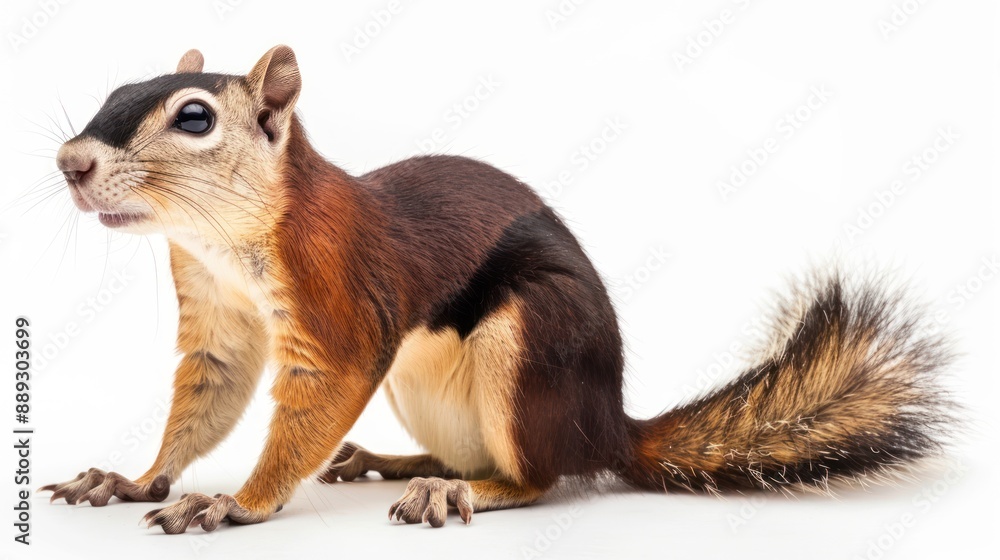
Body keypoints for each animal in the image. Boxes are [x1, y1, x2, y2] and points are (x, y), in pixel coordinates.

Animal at [41, 46, 954, 533]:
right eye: (115, 88)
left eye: (194, 117)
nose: (70, 163)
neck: (224, 239)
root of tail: (606, 426)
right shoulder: (216, 314)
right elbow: (208, 396)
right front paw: (132, 480)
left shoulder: (336, 294)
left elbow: (316, 394)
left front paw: (238, 503)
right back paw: (391, 459)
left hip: (527, 342)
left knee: (537, 477)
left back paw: (455, 489)